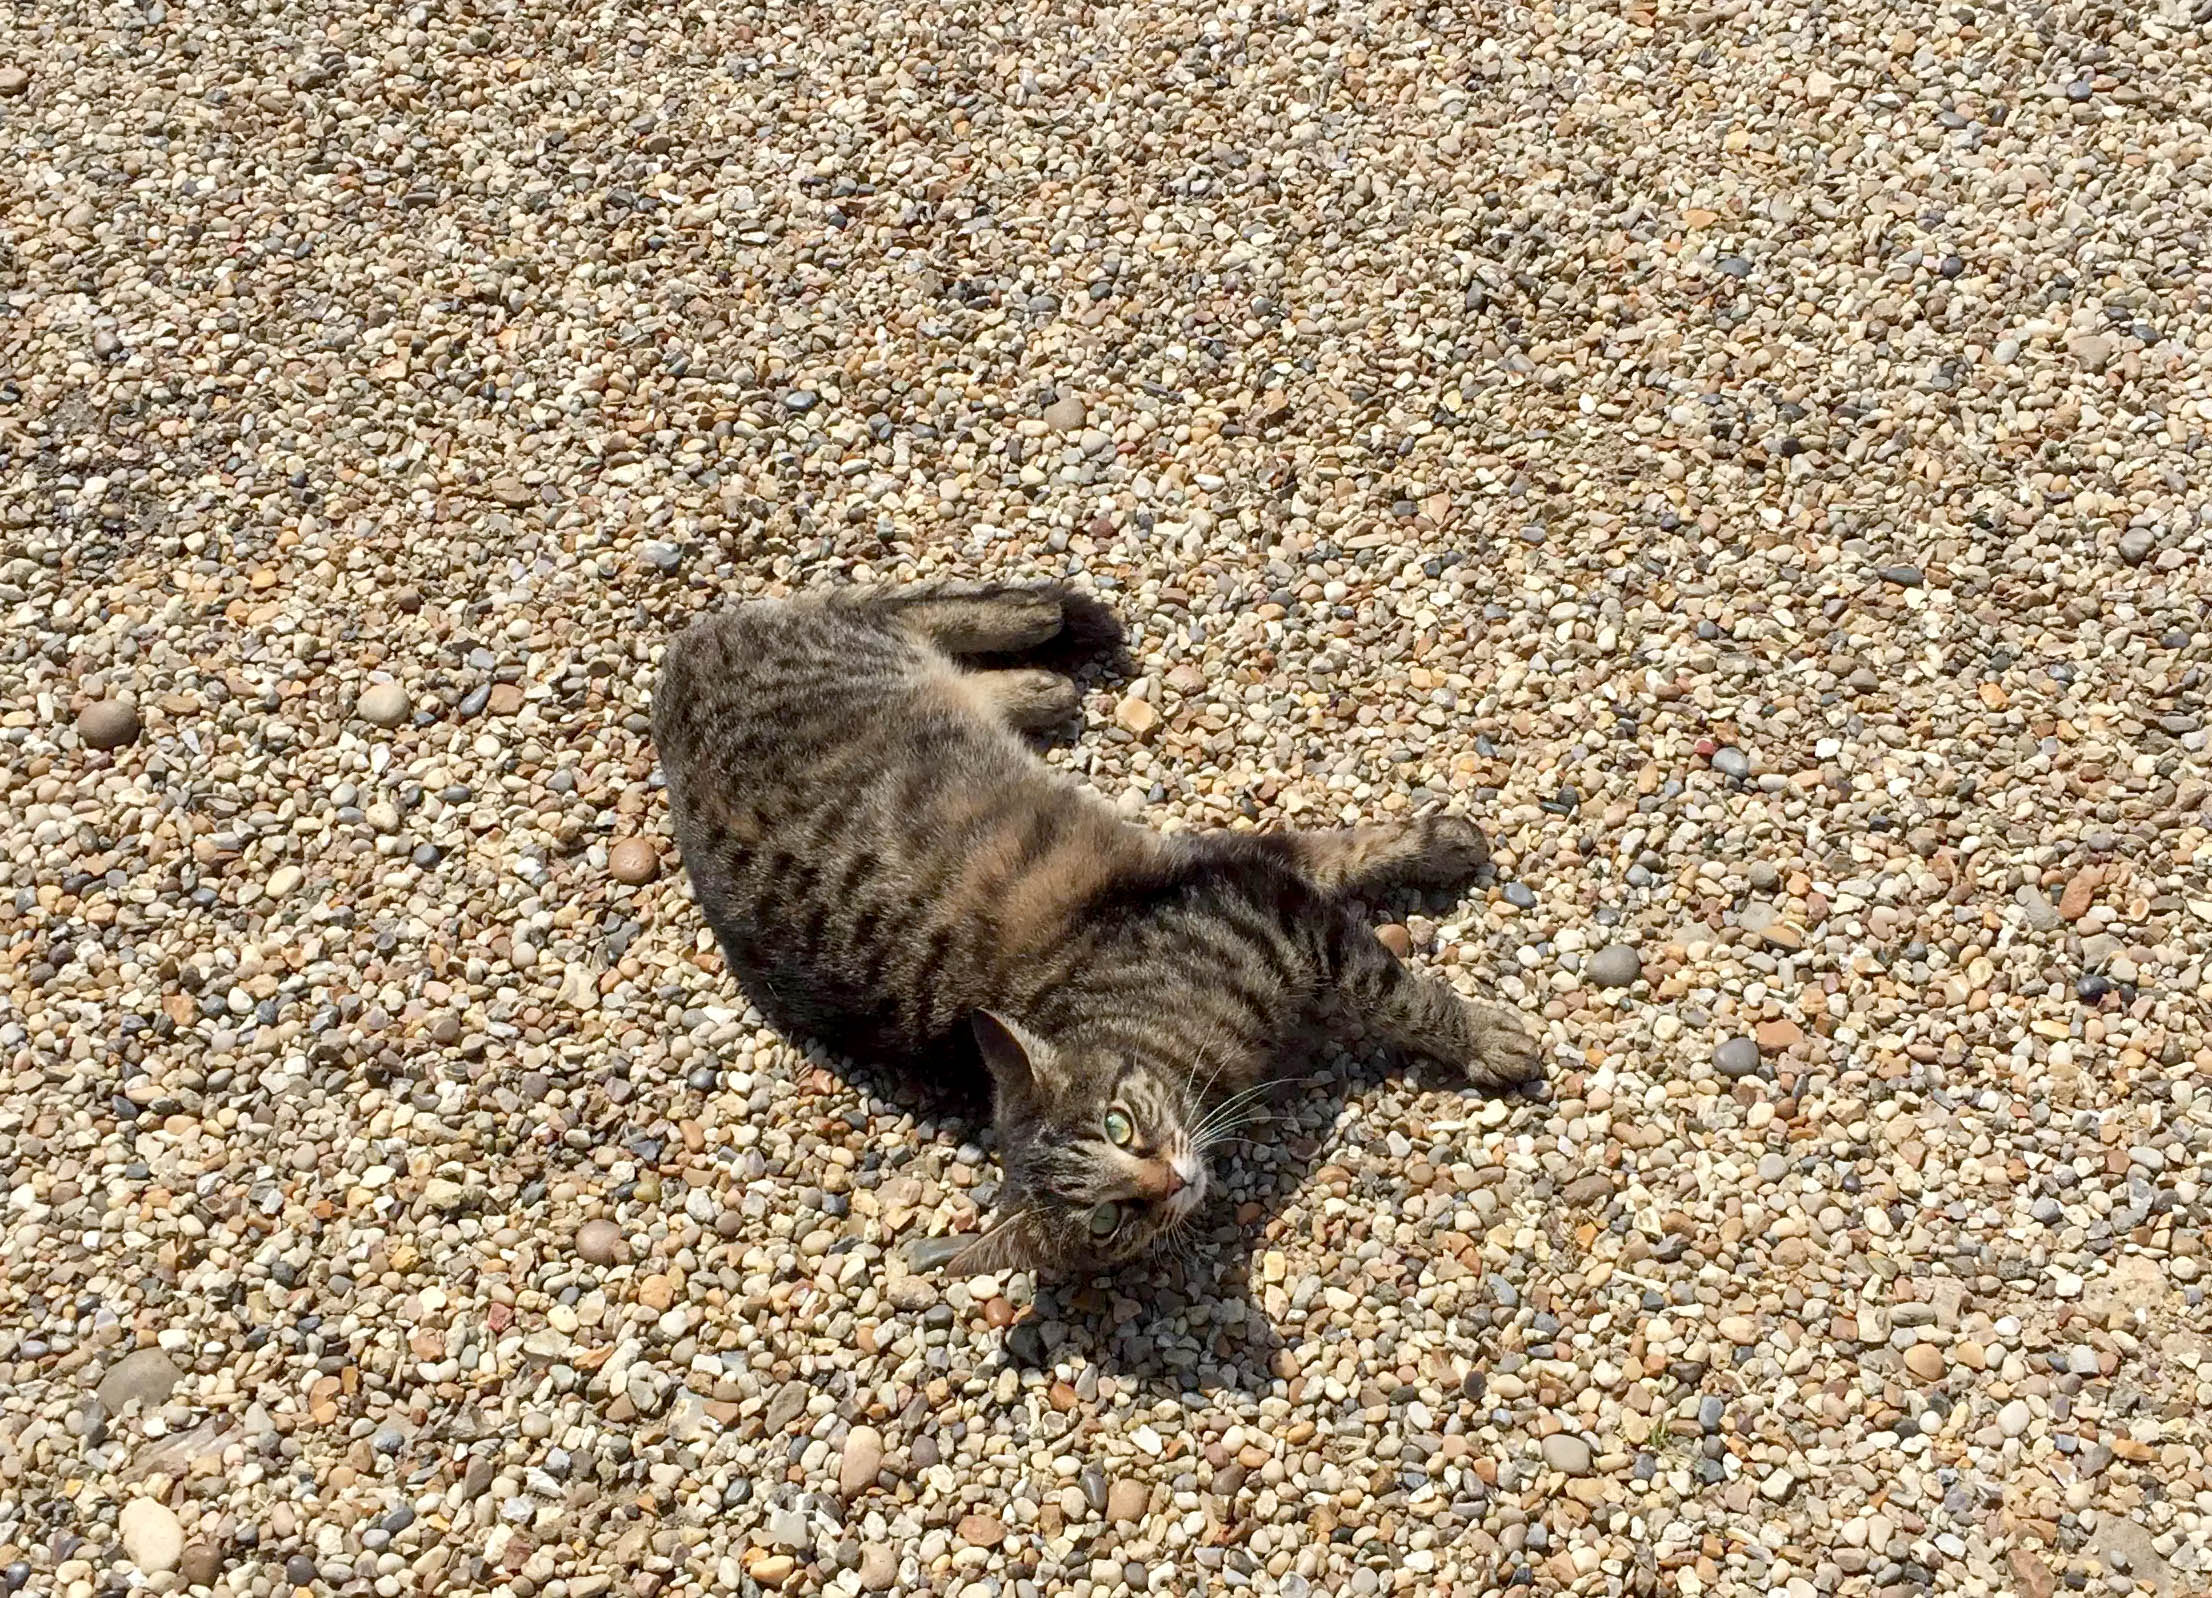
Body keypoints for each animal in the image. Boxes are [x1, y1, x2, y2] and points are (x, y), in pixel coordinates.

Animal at [650, 579, 1539, 1266]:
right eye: (1111, 1219)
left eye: (1119, 1123)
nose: (1171, 1182)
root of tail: (674, 664)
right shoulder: (1256, 888)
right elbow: (1353, 907)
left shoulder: (1256, 893)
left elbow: (1389, 964)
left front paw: (1475, 1006)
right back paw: (1042, 685)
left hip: (858, 650)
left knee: (902, 610)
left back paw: (1047, 626)